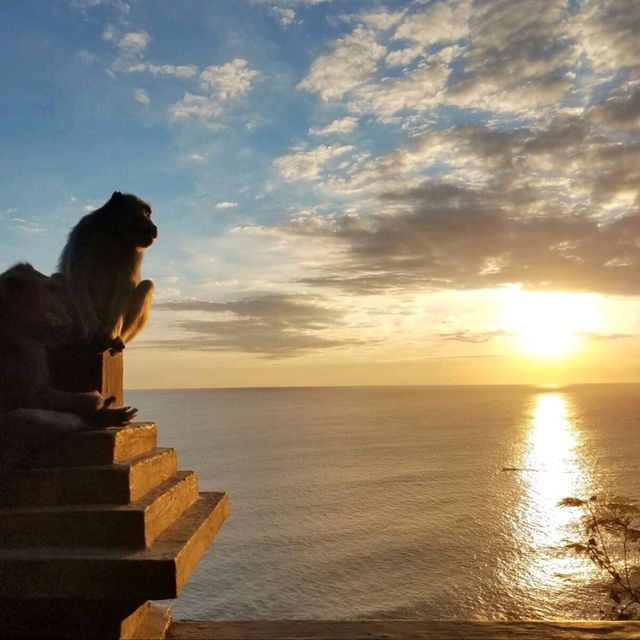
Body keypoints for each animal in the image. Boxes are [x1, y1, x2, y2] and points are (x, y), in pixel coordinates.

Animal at [0, 262, 136, 478]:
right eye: (51, 290)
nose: (65, 310)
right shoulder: (23, 343)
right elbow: (28, 394)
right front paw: (95, 401)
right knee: (27, 419)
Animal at [57, 192, 159, 352]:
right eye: (145, 212)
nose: (154, 227)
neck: (113, 234)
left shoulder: (133, 251)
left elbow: (125, 287)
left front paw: (112, 333)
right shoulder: (83, 232)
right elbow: (77, 278)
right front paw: (92, 328)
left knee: (147, 286)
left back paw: (118, 339)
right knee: (59, 278)